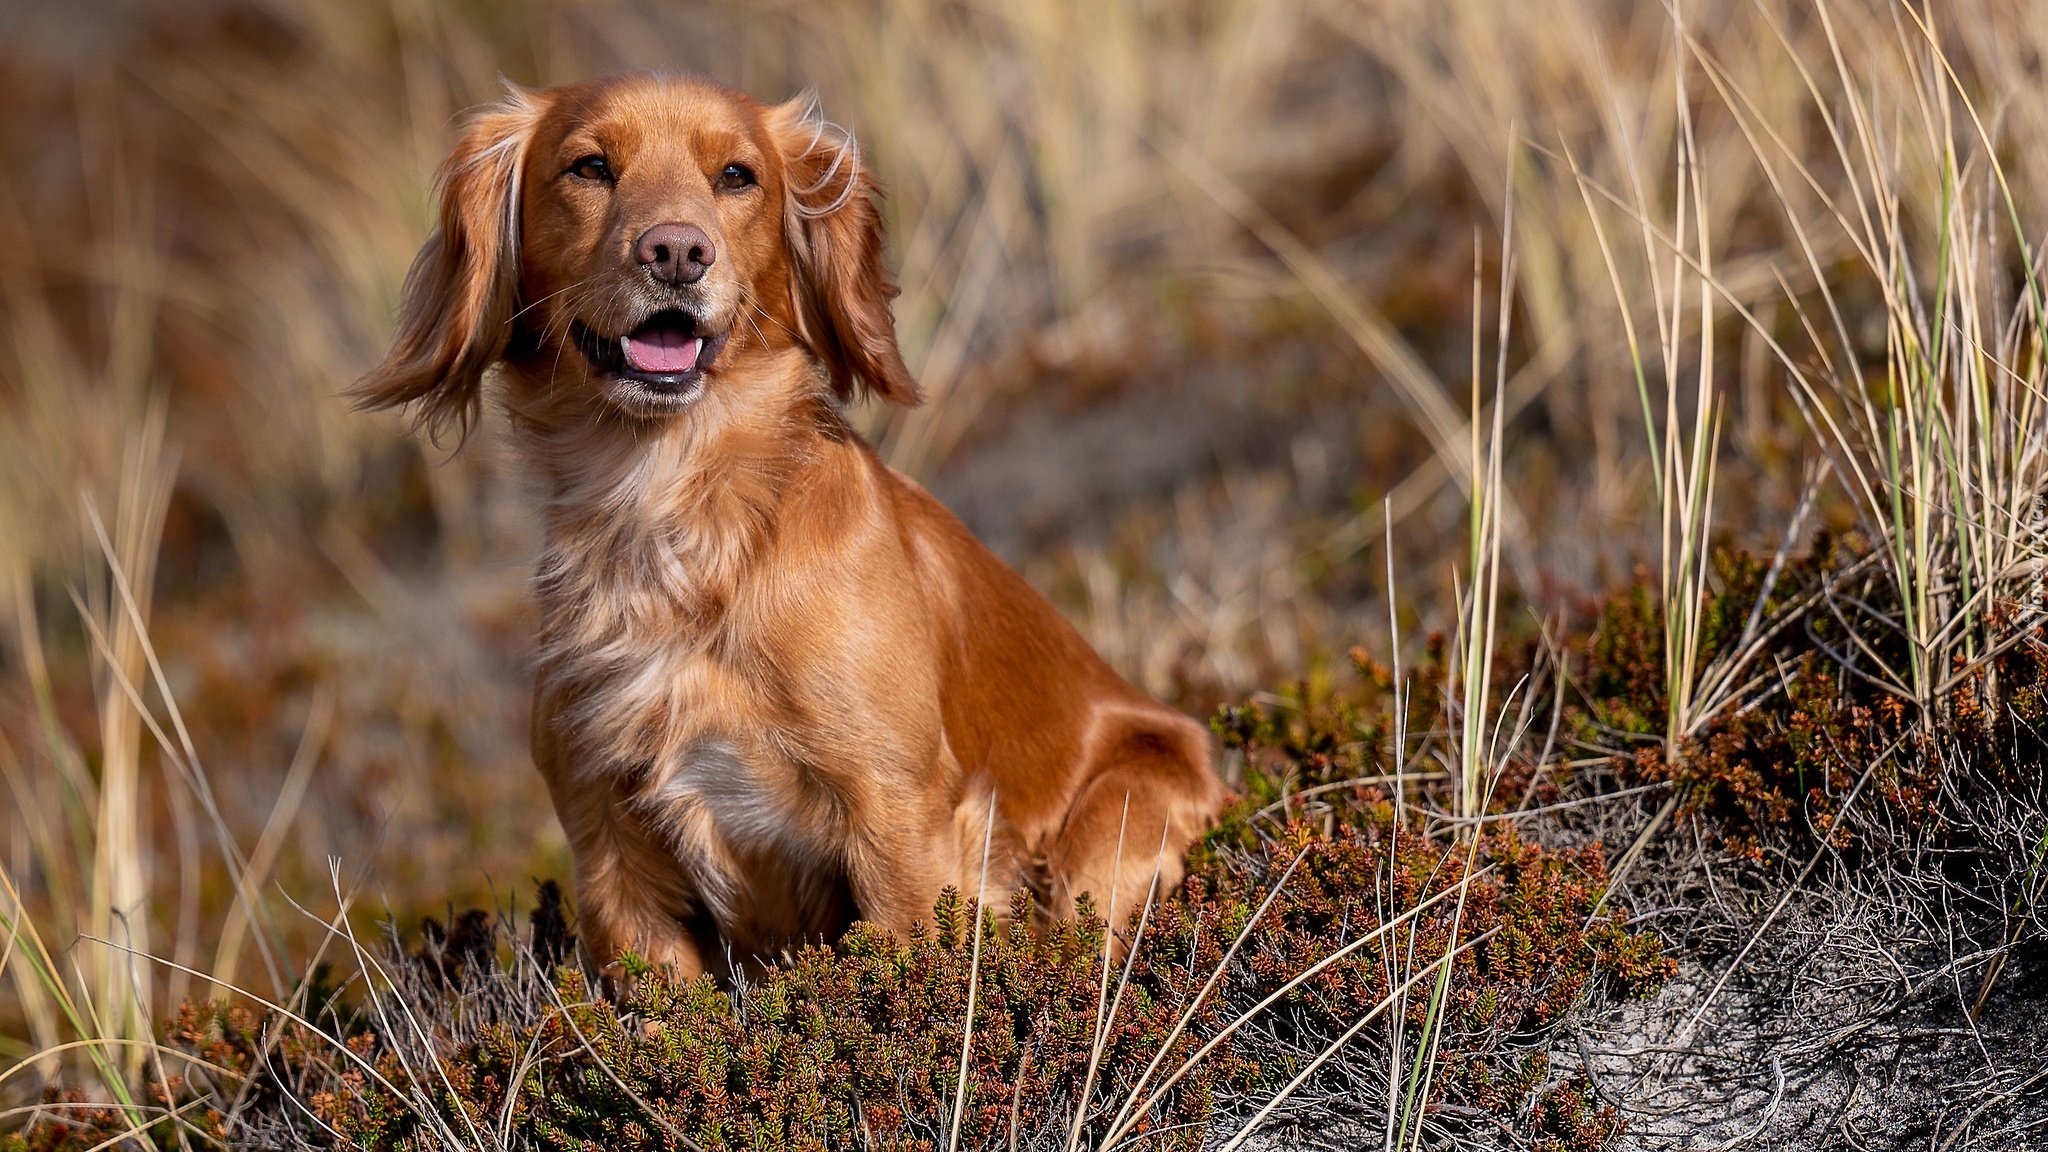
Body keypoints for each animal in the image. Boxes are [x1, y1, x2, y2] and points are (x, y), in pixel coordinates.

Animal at [354, 71, 1220, 975]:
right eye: (589, 167)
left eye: (737, 176)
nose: (676, 252)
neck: (669, 510)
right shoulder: (609, 848)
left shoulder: (898, 813)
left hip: (1114, 821)